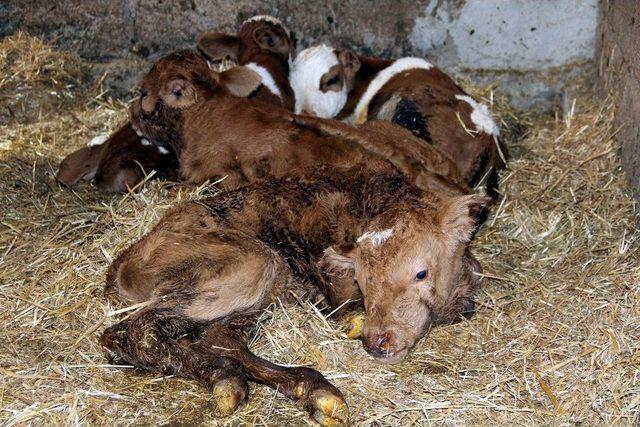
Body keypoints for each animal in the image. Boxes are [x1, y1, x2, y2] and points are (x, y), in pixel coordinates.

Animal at [102, 162, 488, 426]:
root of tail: (122, 264)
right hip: (251, 262)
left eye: (421, 272)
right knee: (130, 332)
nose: (378, 341)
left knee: (218, 338)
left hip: (258, 292)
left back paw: (243, 380)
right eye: (363, 280)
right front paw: (352, 320)